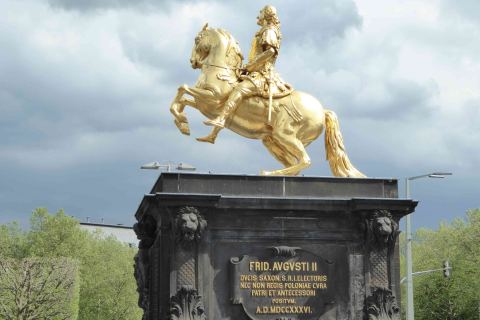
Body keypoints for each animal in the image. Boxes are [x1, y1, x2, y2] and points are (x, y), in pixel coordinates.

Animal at [169, 25, 364, 178]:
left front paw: (184, 123)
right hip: (272, 140)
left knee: (304, 161)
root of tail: (323, 111)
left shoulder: (212, 98)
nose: (192, 62)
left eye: (197, 40)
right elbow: (183, 99)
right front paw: (183, 124)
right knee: (294, 165)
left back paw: (268, 173)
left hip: (285, 135)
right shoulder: (203, 104)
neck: (221, 71)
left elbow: (182, 88)